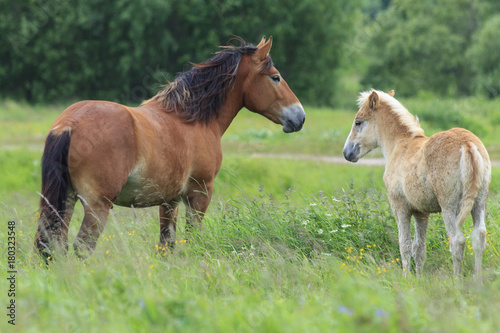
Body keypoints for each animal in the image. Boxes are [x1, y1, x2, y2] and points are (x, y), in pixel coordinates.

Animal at [34, 37, 304, 258]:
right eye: (275, 77)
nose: (299, 116)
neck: (192, 119)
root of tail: (69, 124)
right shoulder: (200, 193)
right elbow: (193, 239)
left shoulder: (169, 200)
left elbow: (167, 245)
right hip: (96, 205)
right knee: (81, 247)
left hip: (66, 200)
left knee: (54, 245)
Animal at [342, 89, 490, 280]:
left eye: (358, 122)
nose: (347, 152)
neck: (400, 145)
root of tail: (467, 144)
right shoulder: (421, 212)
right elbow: (419, 248)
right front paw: (419, 279)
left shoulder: (400, 208)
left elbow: (404, 246)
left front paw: (407, 279)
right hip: (479, 203)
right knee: (479, 237)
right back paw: (477, 281)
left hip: (450, 207)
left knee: (457, 241)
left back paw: (457, 281)